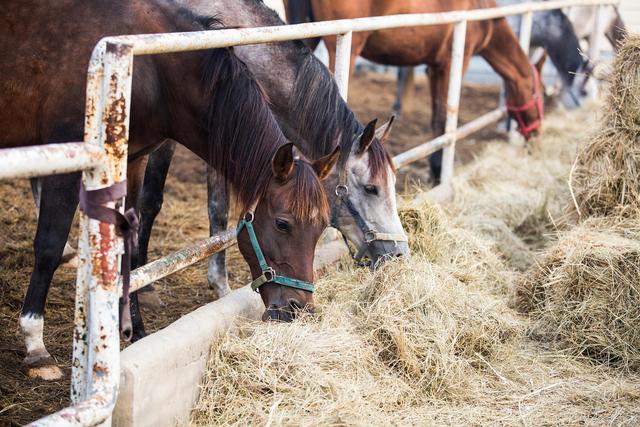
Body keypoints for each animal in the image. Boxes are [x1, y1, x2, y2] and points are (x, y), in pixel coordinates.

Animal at [0, 0, 338, 382]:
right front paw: (35, 345)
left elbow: (128, 249)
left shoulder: (134, 160)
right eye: (282, 223)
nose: (299, 309)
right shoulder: (73, 160)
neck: (154, 69)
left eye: (322, 227)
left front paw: (135, 330)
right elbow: (48, 246)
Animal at [288, 0, 544, 182]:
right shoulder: (452, 64)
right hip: (344, 47)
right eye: (540, 92)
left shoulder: (434, 68)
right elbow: (443, 118)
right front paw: (438, 172)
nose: (537, 133)